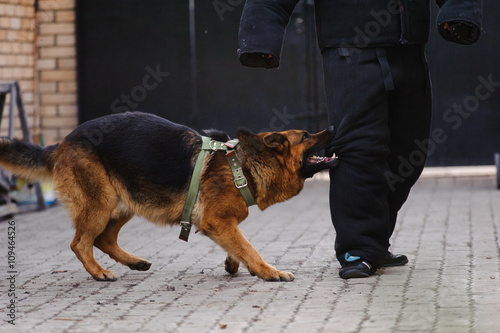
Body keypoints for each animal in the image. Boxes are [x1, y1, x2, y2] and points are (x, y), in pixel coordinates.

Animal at [0, 111, 338, 280]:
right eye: (306, 136)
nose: (334, 126)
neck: (241, 166)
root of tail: (62, 143)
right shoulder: (217, 221)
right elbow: (250, 248)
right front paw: (269, 272)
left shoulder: (221, 224)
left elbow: (240, 246)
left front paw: (233, 264)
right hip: (102, 203)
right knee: (80, 243)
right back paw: (99, 273)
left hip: (127, 202)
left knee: (102, 239)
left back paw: (134, 263)